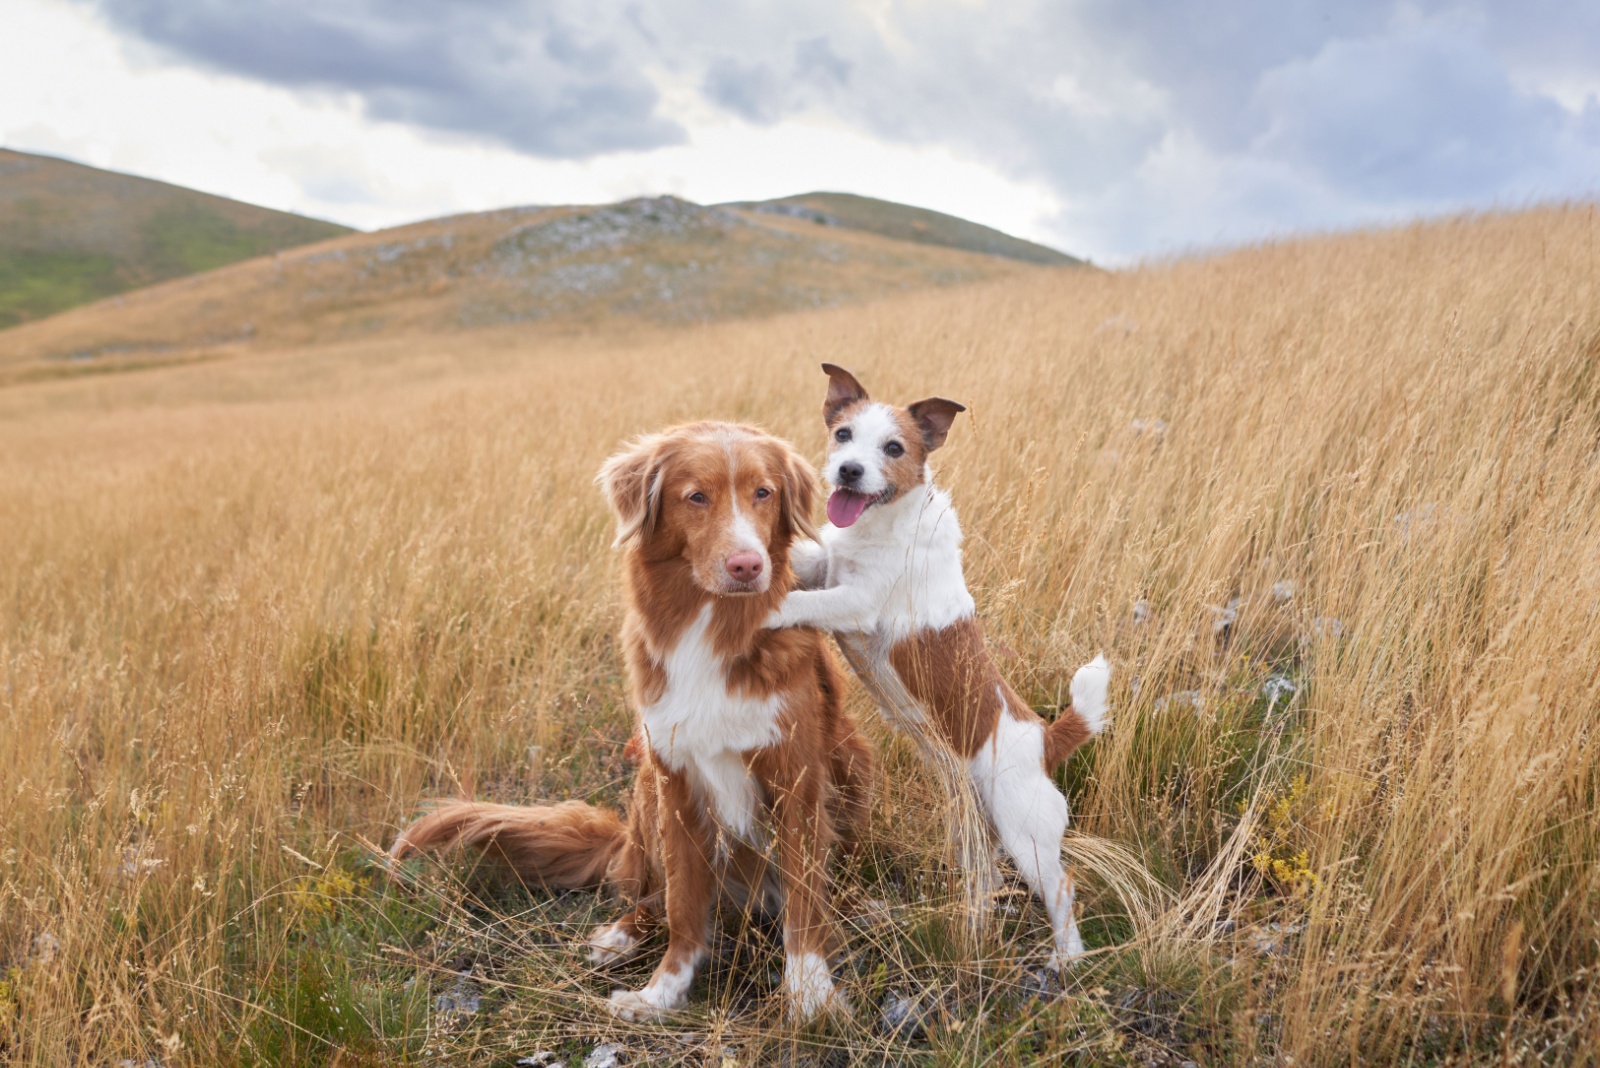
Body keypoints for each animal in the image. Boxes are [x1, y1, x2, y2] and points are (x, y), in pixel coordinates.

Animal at [768, 364, 1107, 965]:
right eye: (843, 435)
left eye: (894, 448)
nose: (848, 470)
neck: (881, 525)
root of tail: (1046, 738)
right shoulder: (828, 565)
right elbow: (812, 560)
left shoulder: (856, 602)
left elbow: (802, 602)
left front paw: (765, 605)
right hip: (974, 828)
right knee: (985, 877)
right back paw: (972, 926)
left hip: (1026, 835)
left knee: (1061, 888)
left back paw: (1065, 956)